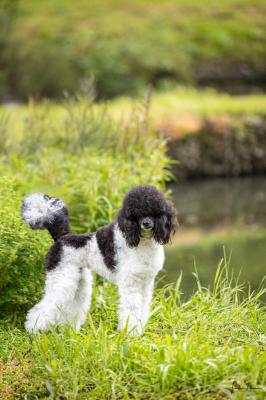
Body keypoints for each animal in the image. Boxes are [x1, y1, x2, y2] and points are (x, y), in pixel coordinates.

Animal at [21, 185, 177, 334]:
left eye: (154, 211)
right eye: (136, 214)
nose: (146, 223)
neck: (142, 242)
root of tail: (62, 237)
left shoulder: (146, 283)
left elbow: (143, 307)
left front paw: (139, 328)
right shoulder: (130, 283)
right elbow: (131, 308)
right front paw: (131, 331)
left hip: (78, 281)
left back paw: (69, 330)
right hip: (60, 279)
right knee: (45, 306)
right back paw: (33, 329)